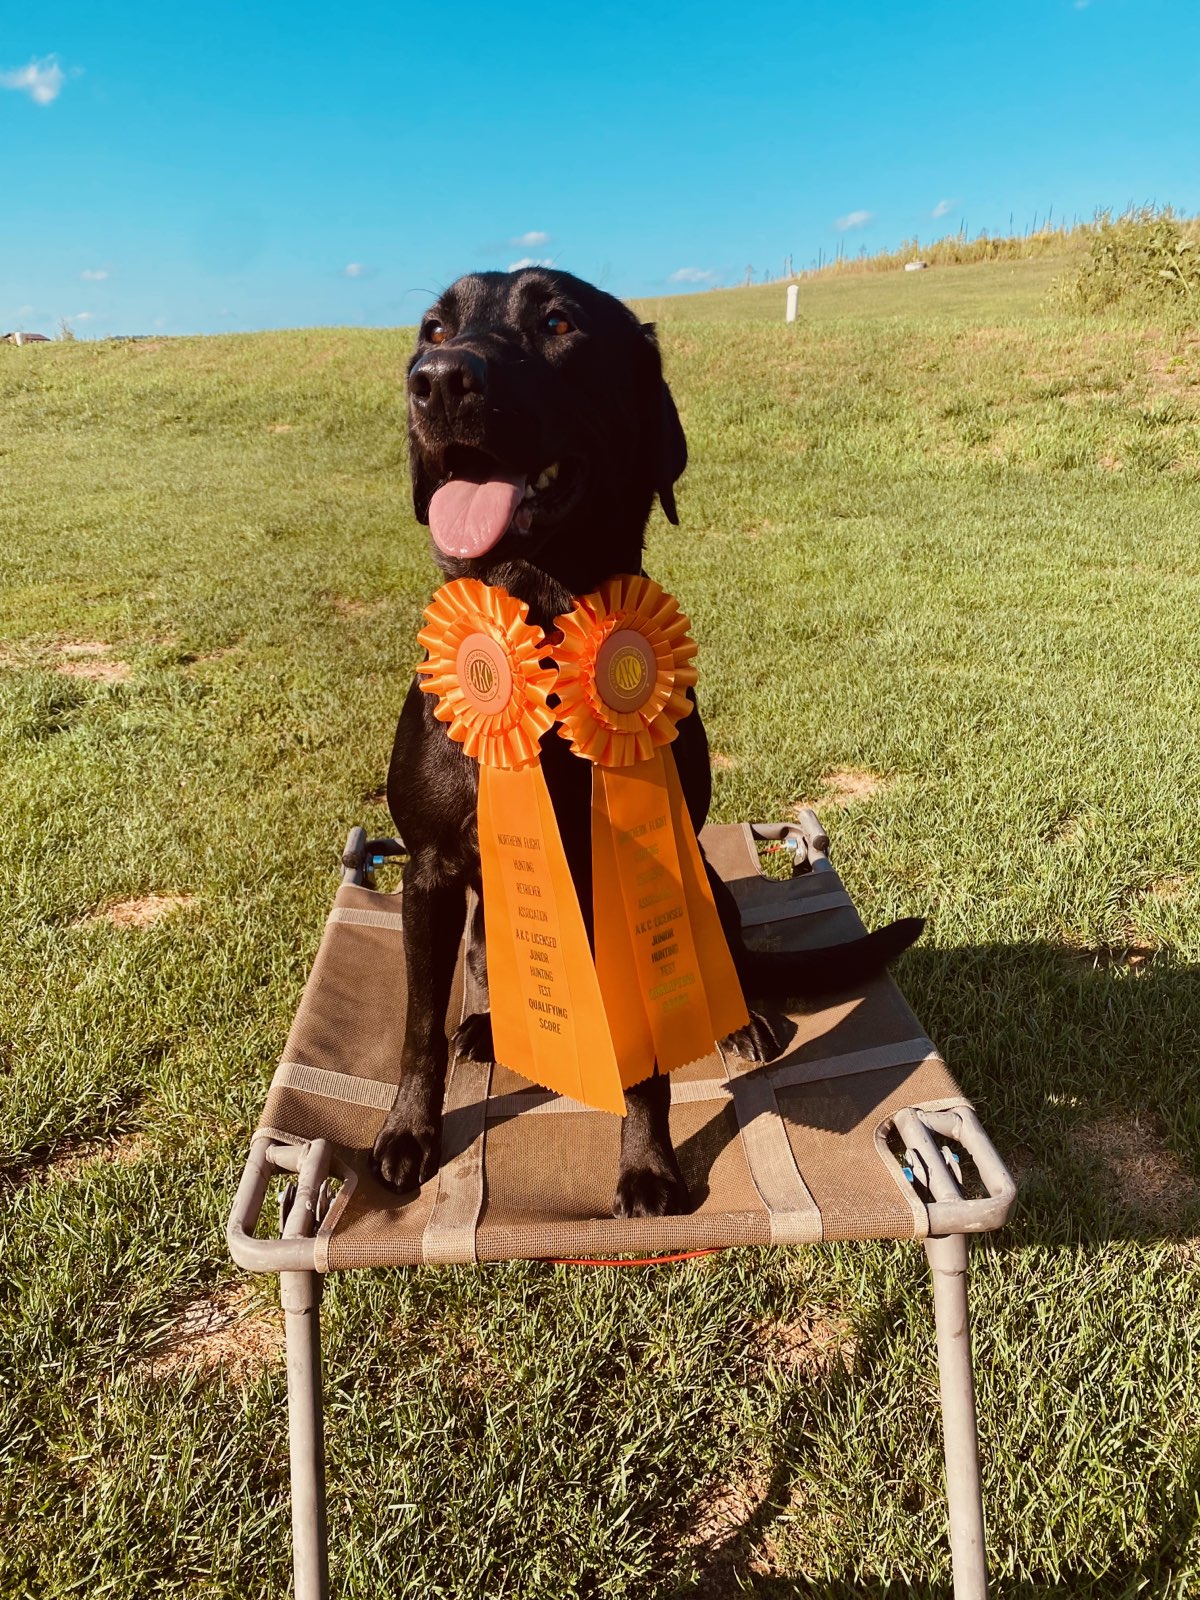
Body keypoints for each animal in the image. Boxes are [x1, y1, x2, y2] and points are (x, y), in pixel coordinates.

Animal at [374, 272, 921, 1209]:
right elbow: (414, 1027)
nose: (438, 381)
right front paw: (408, 1134)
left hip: (707, 884)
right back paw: (483, 1026)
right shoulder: (431, 871)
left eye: (558, 321)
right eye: (433, 328)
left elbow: (648, 1067)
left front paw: (649, 1164)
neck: (541, 624)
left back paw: (746, 1025)